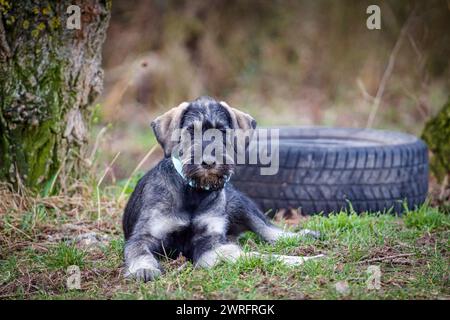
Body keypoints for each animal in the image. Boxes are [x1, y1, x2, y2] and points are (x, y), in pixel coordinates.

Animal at [121, 96, 322, 282]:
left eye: (222, 132)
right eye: (190, 131)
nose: (209, 162)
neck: (193, 193)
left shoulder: (209, 242)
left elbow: (255, 255)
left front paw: (301, 260)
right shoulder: (144, 236)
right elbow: (140, 252)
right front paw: (143, 269)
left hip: (240, 204)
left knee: (270, 229)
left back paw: (303, 236)